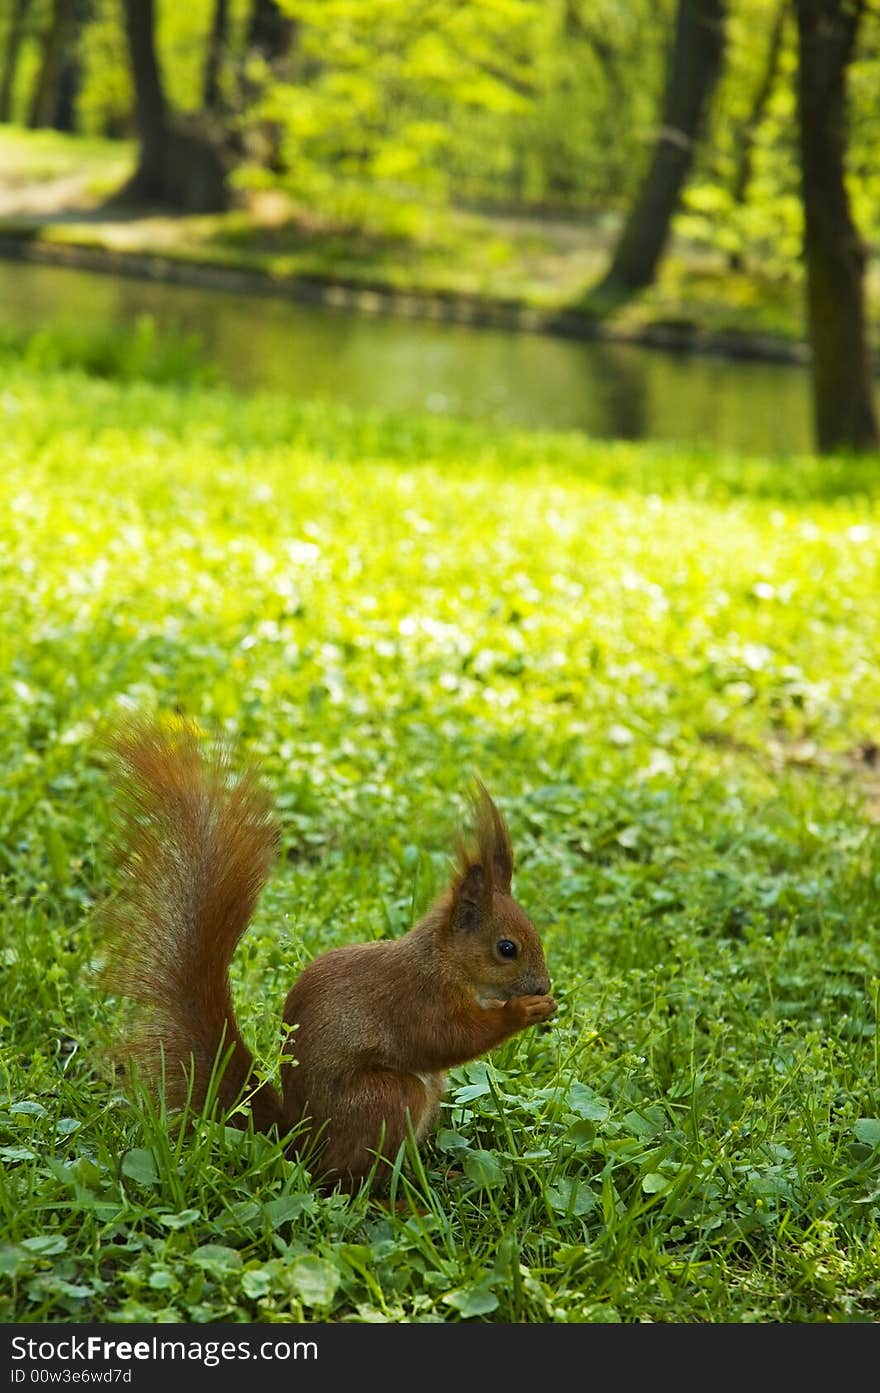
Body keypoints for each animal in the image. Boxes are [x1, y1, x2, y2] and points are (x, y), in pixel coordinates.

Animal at [99, 718, 554, 1186]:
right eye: (507, 948)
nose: (543, 985)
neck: (445, 962)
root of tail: (303, 1142)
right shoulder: (415, 998)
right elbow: (445, 1038)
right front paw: (523, 1011)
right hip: (387, 1098)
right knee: (343, 1179)